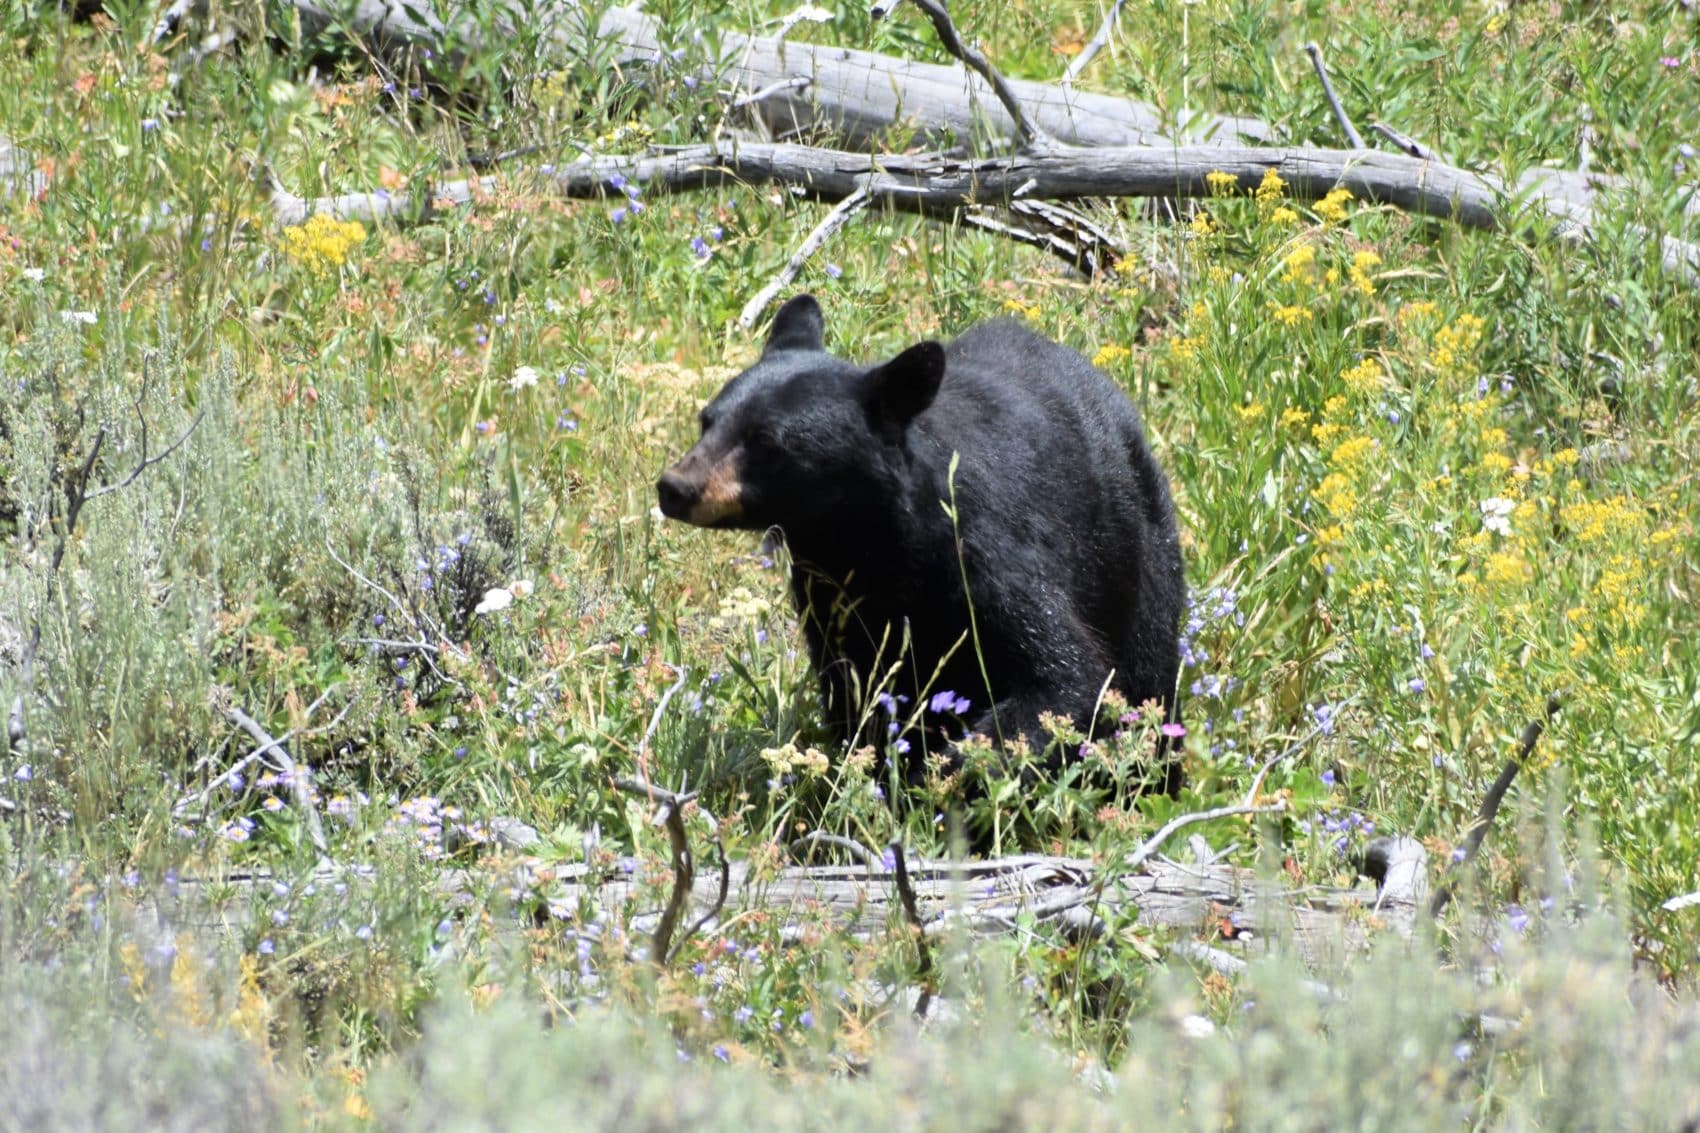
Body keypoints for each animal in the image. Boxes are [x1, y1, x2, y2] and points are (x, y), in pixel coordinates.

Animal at [652, 296, 1183, 775]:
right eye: (707, 420)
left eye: (765, 440)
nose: (675, 486)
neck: (867, 538)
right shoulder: (831, 594)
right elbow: (854, 691)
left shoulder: (987, 553)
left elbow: (1065, 677)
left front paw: (945, 775)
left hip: (1136, 548)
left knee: (1151, 669)